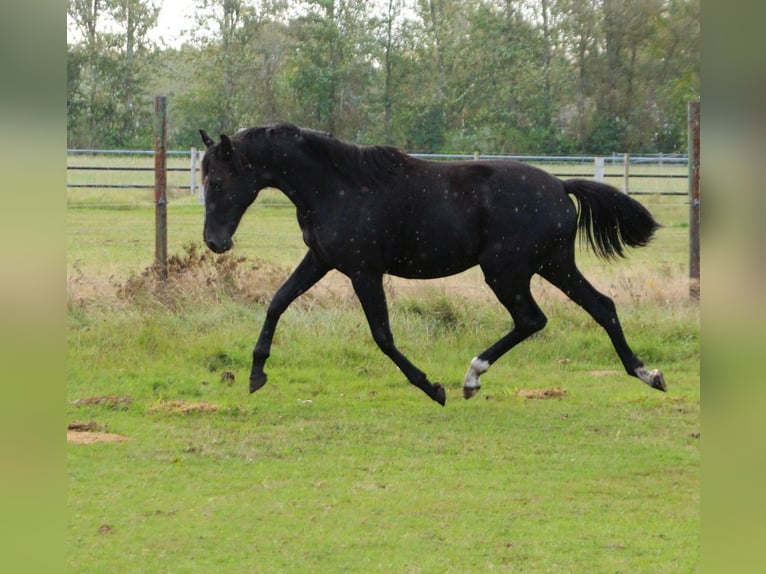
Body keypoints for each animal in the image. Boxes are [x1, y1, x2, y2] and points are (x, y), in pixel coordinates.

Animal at [201, 124, 668, 408]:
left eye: (219, 181)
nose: (215, 242)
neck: (337, 186)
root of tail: (560, 185)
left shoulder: (364, 272)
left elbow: (383, 336)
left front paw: (432, 388)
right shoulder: (321, 260)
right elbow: (277, 303)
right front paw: (256, 373)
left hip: (507, 271)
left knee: (533, 319)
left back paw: (471, 377)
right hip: (552, 265)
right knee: (600, 306)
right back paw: (647, 373)